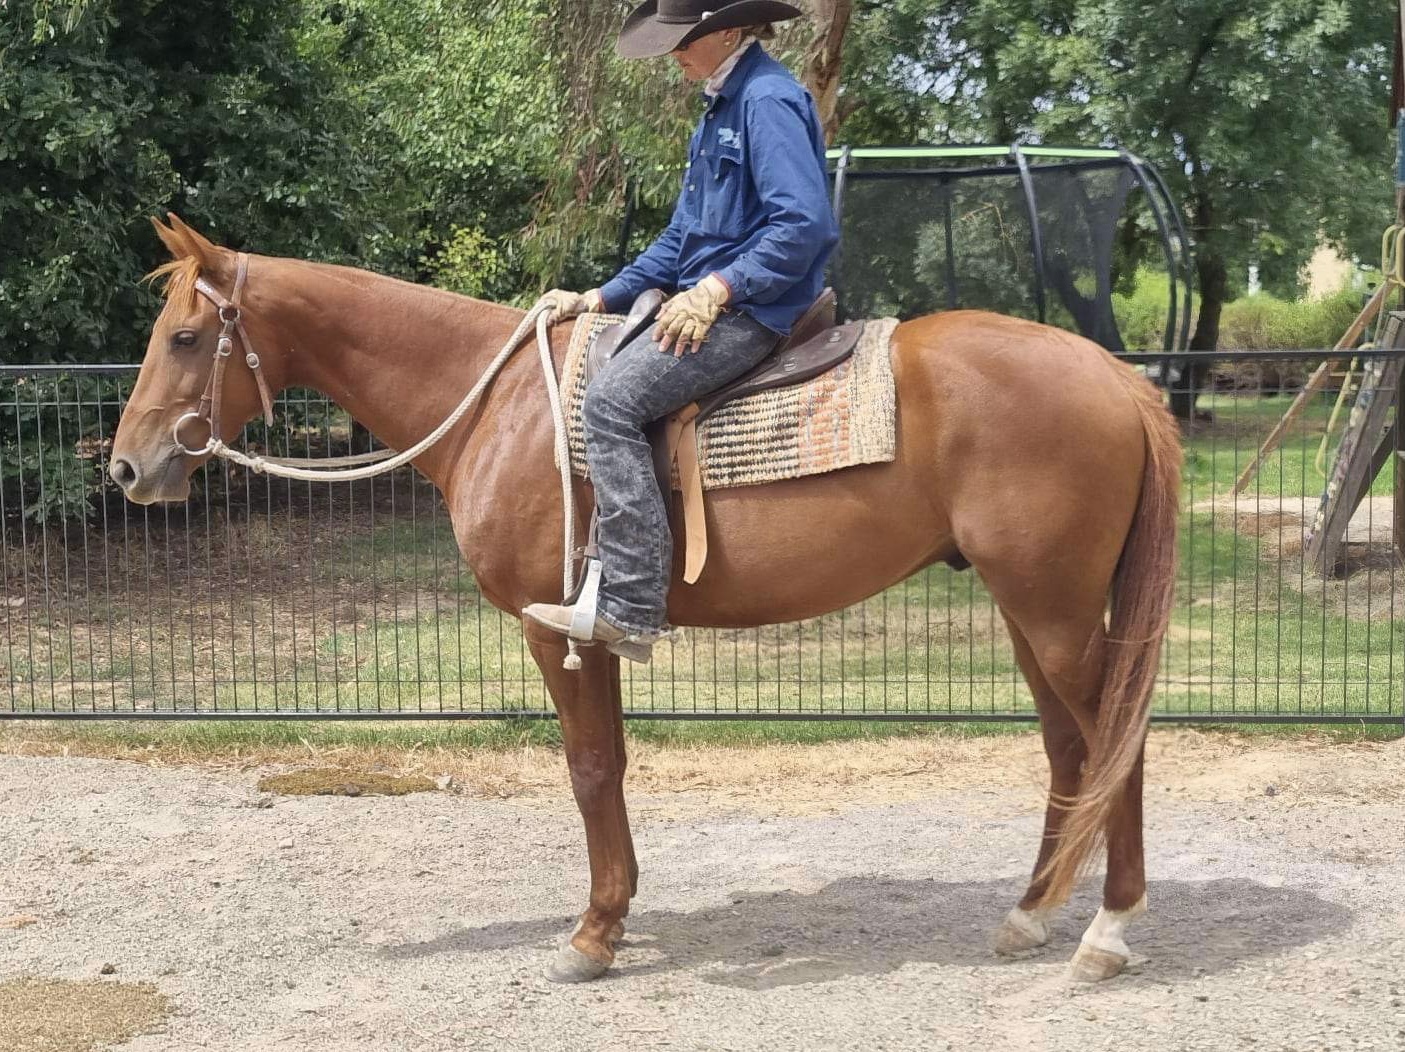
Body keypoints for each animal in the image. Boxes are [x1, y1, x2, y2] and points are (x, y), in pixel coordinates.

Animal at [110, 215, 1181, 985]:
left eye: (187, 336)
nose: (127, 466)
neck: (496, 408)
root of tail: (1113, 376)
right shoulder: (601, 636)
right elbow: (614, 768)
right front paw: (613, 917)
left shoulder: (554, 632)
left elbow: (589, 770)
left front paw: (591, 935)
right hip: (1029, 609)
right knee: (1070, 747)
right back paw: (1030, 916)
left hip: (1052, 609)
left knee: (1115, 743)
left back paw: (1107, 931)